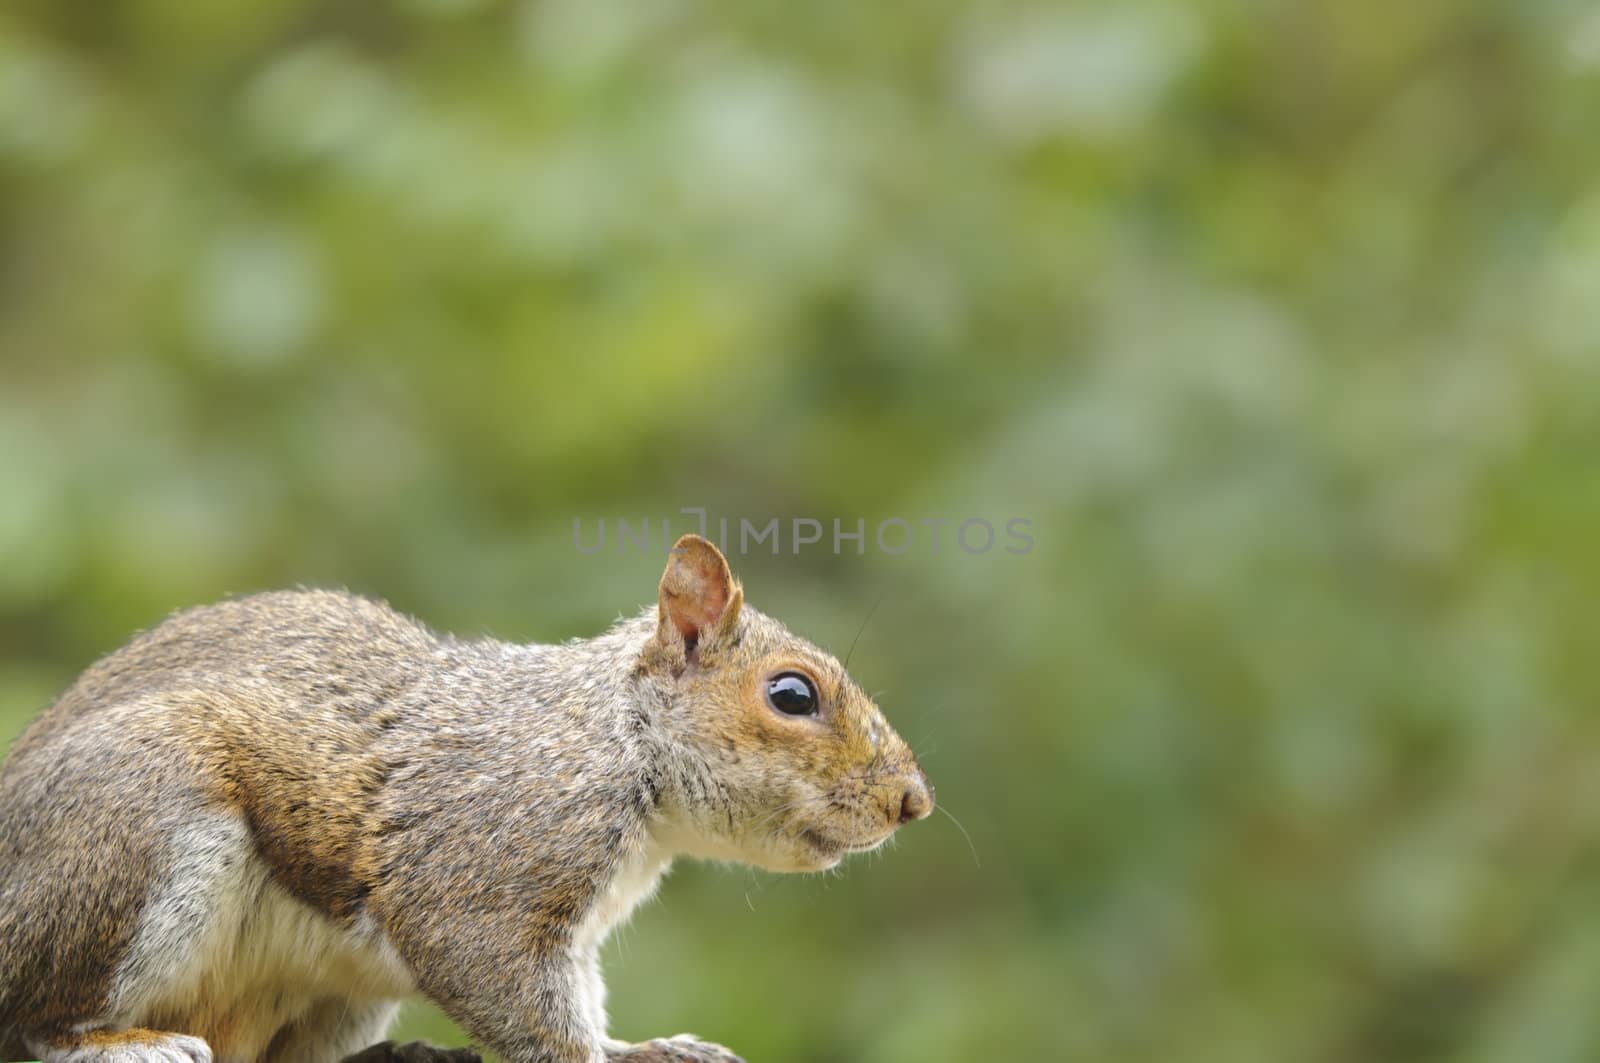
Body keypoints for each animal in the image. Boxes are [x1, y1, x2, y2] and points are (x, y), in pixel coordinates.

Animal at [0, 534, 928, 1063]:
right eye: (793, 694)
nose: (912, 802)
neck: (616, 742)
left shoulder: (576, 935)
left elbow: (582, 995)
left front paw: (646, 1046)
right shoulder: (490, 855)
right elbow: (503, 979)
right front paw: (596, 1055)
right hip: (132, 829)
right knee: (37, 1016)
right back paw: (124, 1044)